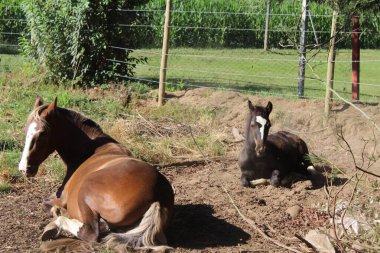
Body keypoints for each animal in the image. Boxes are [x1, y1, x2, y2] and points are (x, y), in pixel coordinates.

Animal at [18, 96, 175, 251]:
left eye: (43, 133)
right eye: (26, 131)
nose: (23, 168)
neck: (89, 149)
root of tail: (158, 196)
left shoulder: (59, 198)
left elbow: (46, 204)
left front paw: (58, 212)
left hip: (85, 191)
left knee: (90, 233)